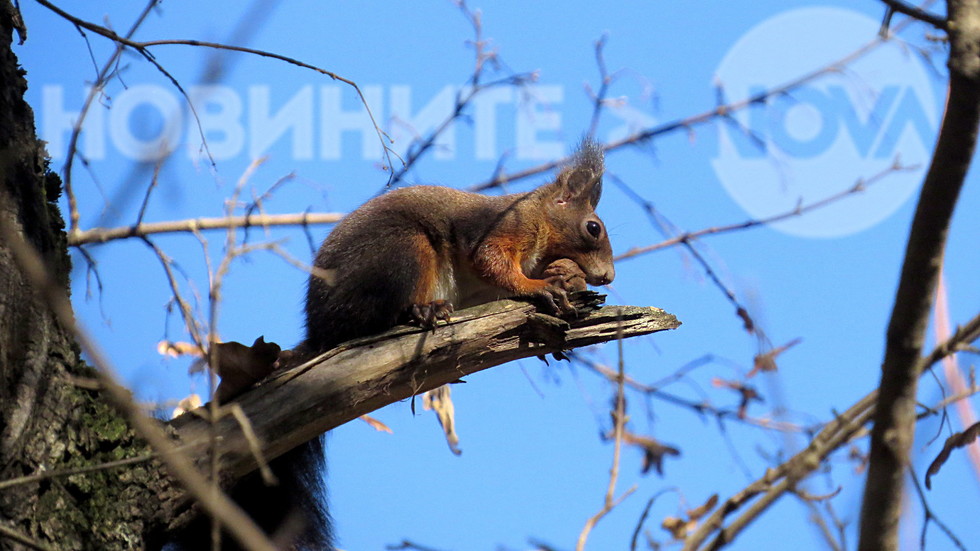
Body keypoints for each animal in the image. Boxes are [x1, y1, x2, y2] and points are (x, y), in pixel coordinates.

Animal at [186, 139, 612, 551]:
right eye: (593, 228)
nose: (607, 276)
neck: (537, 217)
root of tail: (320, 331)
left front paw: (564, 279)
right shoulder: (501, 228)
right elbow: (491, 261)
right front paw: (539, 287)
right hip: (402, 250)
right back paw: (421, 311)